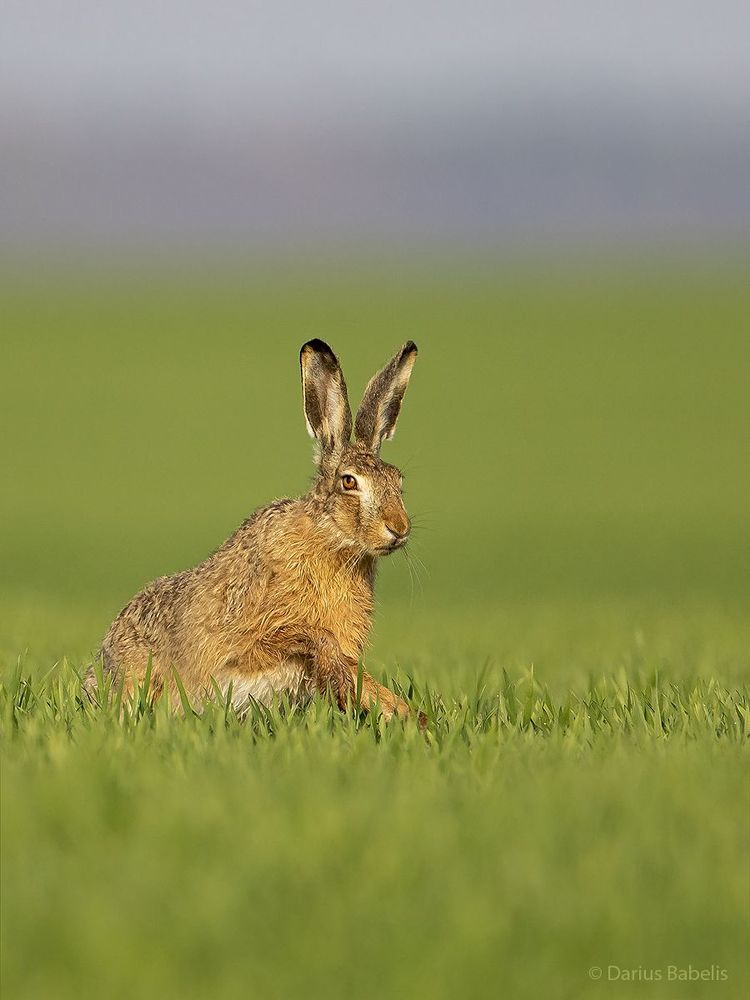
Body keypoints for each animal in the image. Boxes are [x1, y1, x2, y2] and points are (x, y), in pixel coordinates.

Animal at [86, 339, 421, 724]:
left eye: (398, 481)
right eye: (348, 482)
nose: (399, 528)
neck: (328, 539)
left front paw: (401, 712)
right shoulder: (245, 640)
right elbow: (308, 636)